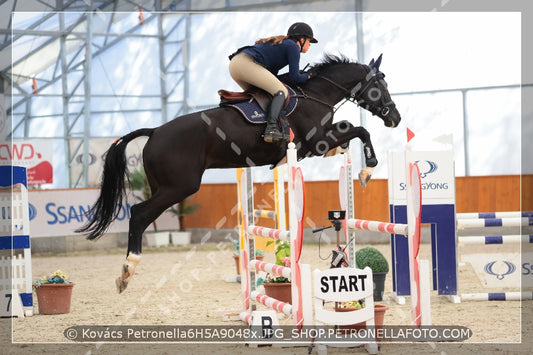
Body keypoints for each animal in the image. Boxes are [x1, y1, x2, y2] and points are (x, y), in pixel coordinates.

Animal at [75, 52, 400, 292]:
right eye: (380, 87)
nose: (395, 118)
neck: (316, 94)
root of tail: (155, 131)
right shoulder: (316, 141)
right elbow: (359, 130)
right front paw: (369, 170)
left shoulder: (316, 146)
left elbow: (349, 135)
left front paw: (358, 169)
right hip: (178, 187)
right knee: (140, 214)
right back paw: (127, 270)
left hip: (163, 186)